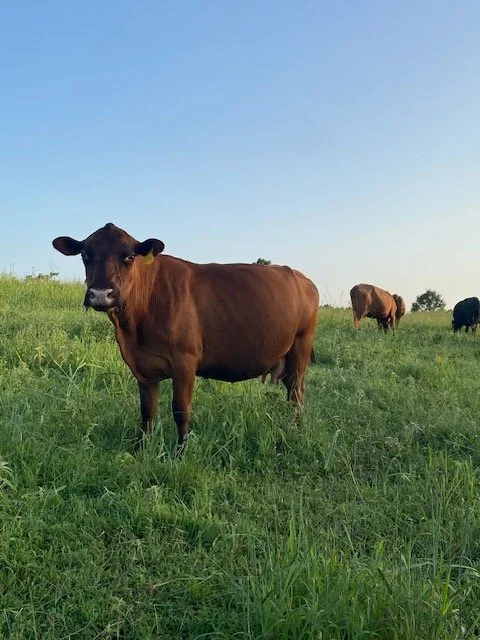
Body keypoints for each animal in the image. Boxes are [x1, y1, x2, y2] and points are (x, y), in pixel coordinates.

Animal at [52, 223, 319, 452]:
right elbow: (147, 410)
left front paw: (181, 452)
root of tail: (302, 277)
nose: (100, 294)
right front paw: (141, 448)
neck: (133, 329)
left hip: (301, 345)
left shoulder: (185, 361)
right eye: (85, 255)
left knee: (297, 393)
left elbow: (181, 410)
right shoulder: (142, 367)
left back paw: (295, 431)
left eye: (128, 256)